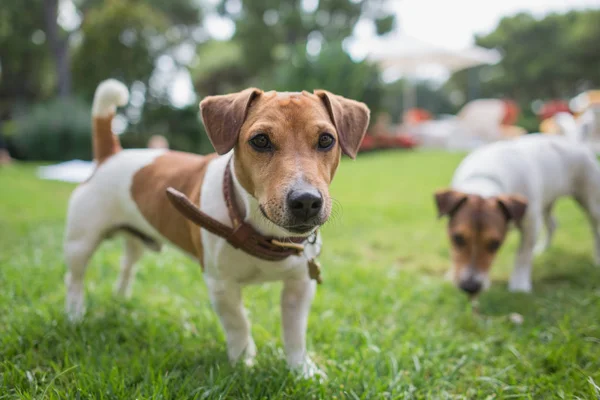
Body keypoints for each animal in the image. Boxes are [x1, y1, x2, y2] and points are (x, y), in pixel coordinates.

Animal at [63, 79, 368, 376]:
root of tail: (110, 154)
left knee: (127, 265)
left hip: (135, 239)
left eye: (326, 139)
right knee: (74, 279)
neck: (262, 232)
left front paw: (302, 370)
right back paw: (75, 315)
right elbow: (238, 324)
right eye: (260, 140)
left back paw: (121, 300)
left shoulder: (300, 285)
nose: (305, 200)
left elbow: (295, 335)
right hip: (80, 242)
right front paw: (243, 364)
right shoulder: (221, 285)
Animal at [434, 136, 600, 296]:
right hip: (546, 202)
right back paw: (541, 249)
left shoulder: (531, 223)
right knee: (552, 224)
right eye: (457, 238)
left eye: (495, 244)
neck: (485, 179)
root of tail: (575, 141)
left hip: (591, 202)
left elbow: (523, 254)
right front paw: (451, 274)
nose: (470, 287)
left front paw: (519, 285)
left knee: (595, 228)